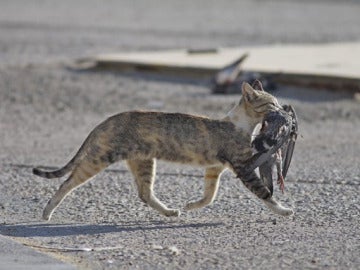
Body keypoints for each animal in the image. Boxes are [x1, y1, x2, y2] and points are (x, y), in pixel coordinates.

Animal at [33, 81, 292, 220]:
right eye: (272, 103)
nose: (285, 109)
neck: (241, 125)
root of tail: (107, 120)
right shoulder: (243, 167)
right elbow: (264, 193)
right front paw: (284, 210)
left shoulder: (213, 168)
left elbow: (209, 195)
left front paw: (190, 206)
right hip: (100, 157)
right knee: (67, 182)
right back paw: (47, 212)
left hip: (144, 162)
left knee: (144, 193)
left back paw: (170, 212)